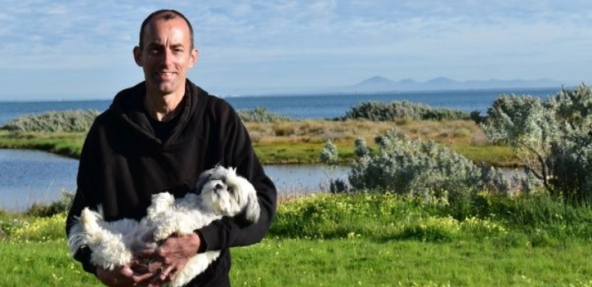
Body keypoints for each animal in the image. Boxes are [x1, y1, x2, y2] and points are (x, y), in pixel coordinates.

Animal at [67, 166, 260, 287]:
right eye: (219, 178)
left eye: (232, 190)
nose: (219, 186)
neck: (202, 205)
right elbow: (166, 197)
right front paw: (154, 210)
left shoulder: (192, 225)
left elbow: (177, 220)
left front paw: (161, 230)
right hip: (125, 226)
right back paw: (87, 217)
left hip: (120, 254)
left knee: (103, 243)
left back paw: (87, 221)